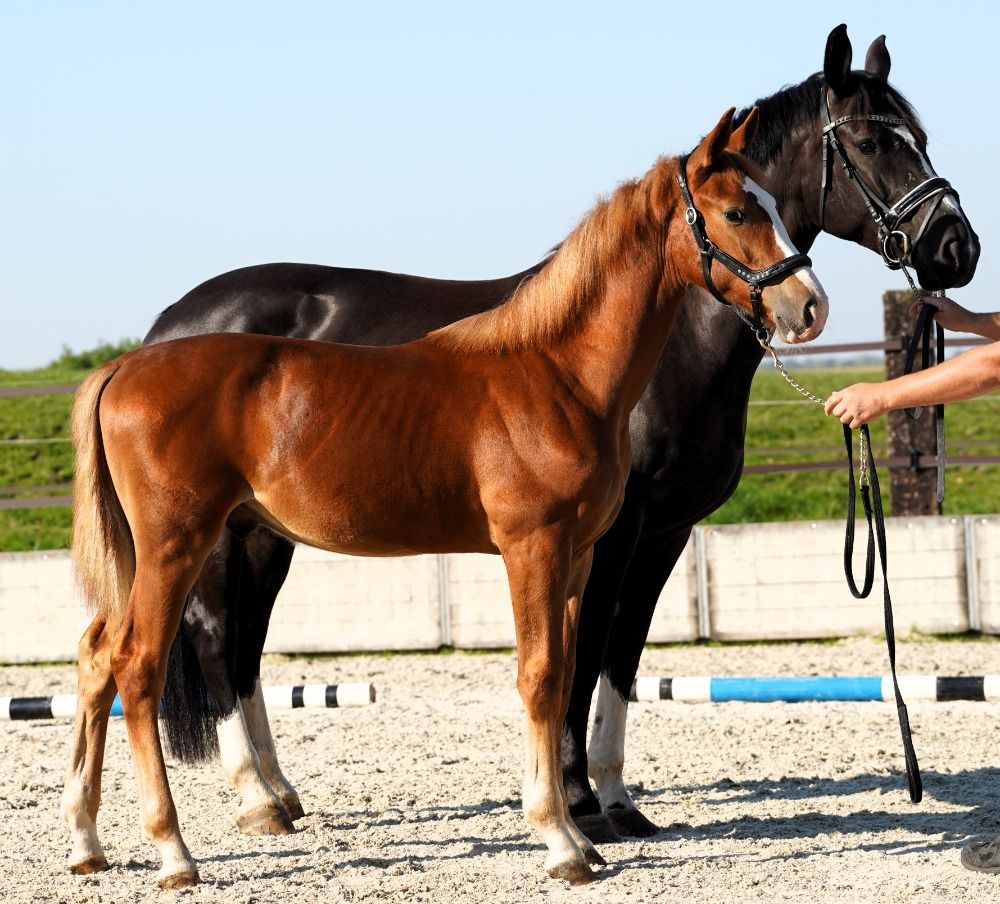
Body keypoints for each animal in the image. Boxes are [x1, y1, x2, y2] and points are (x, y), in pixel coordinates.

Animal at [62, 109, 826, 888]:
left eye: (774, 204)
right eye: (737, 212)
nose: (809, 306)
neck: (558, 373)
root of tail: (123, 367)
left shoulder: (579, 554)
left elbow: (567, 673)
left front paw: (579, 836)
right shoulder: (533, 547)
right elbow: (541, 677)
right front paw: (560, 839)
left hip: (159, 554)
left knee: (96, 657)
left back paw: (88, 843)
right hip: (180, 546)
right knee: (140, 664)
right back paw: (178, 849)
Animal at [134, 23, 981, 845]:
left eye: (921, 137)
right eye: (870, 141)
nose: (956, 248)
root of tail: (166, 330)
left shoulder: (665, 531)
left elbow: (621, 656)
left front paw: (617, 799)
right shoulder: (610, 529)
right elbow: (581, 653)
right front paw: (575, 798)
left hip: (264, 533)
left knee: (245, 646)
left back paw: (280, 791)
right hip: (218, 534)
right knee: (213, 634)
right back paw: (256, 797)